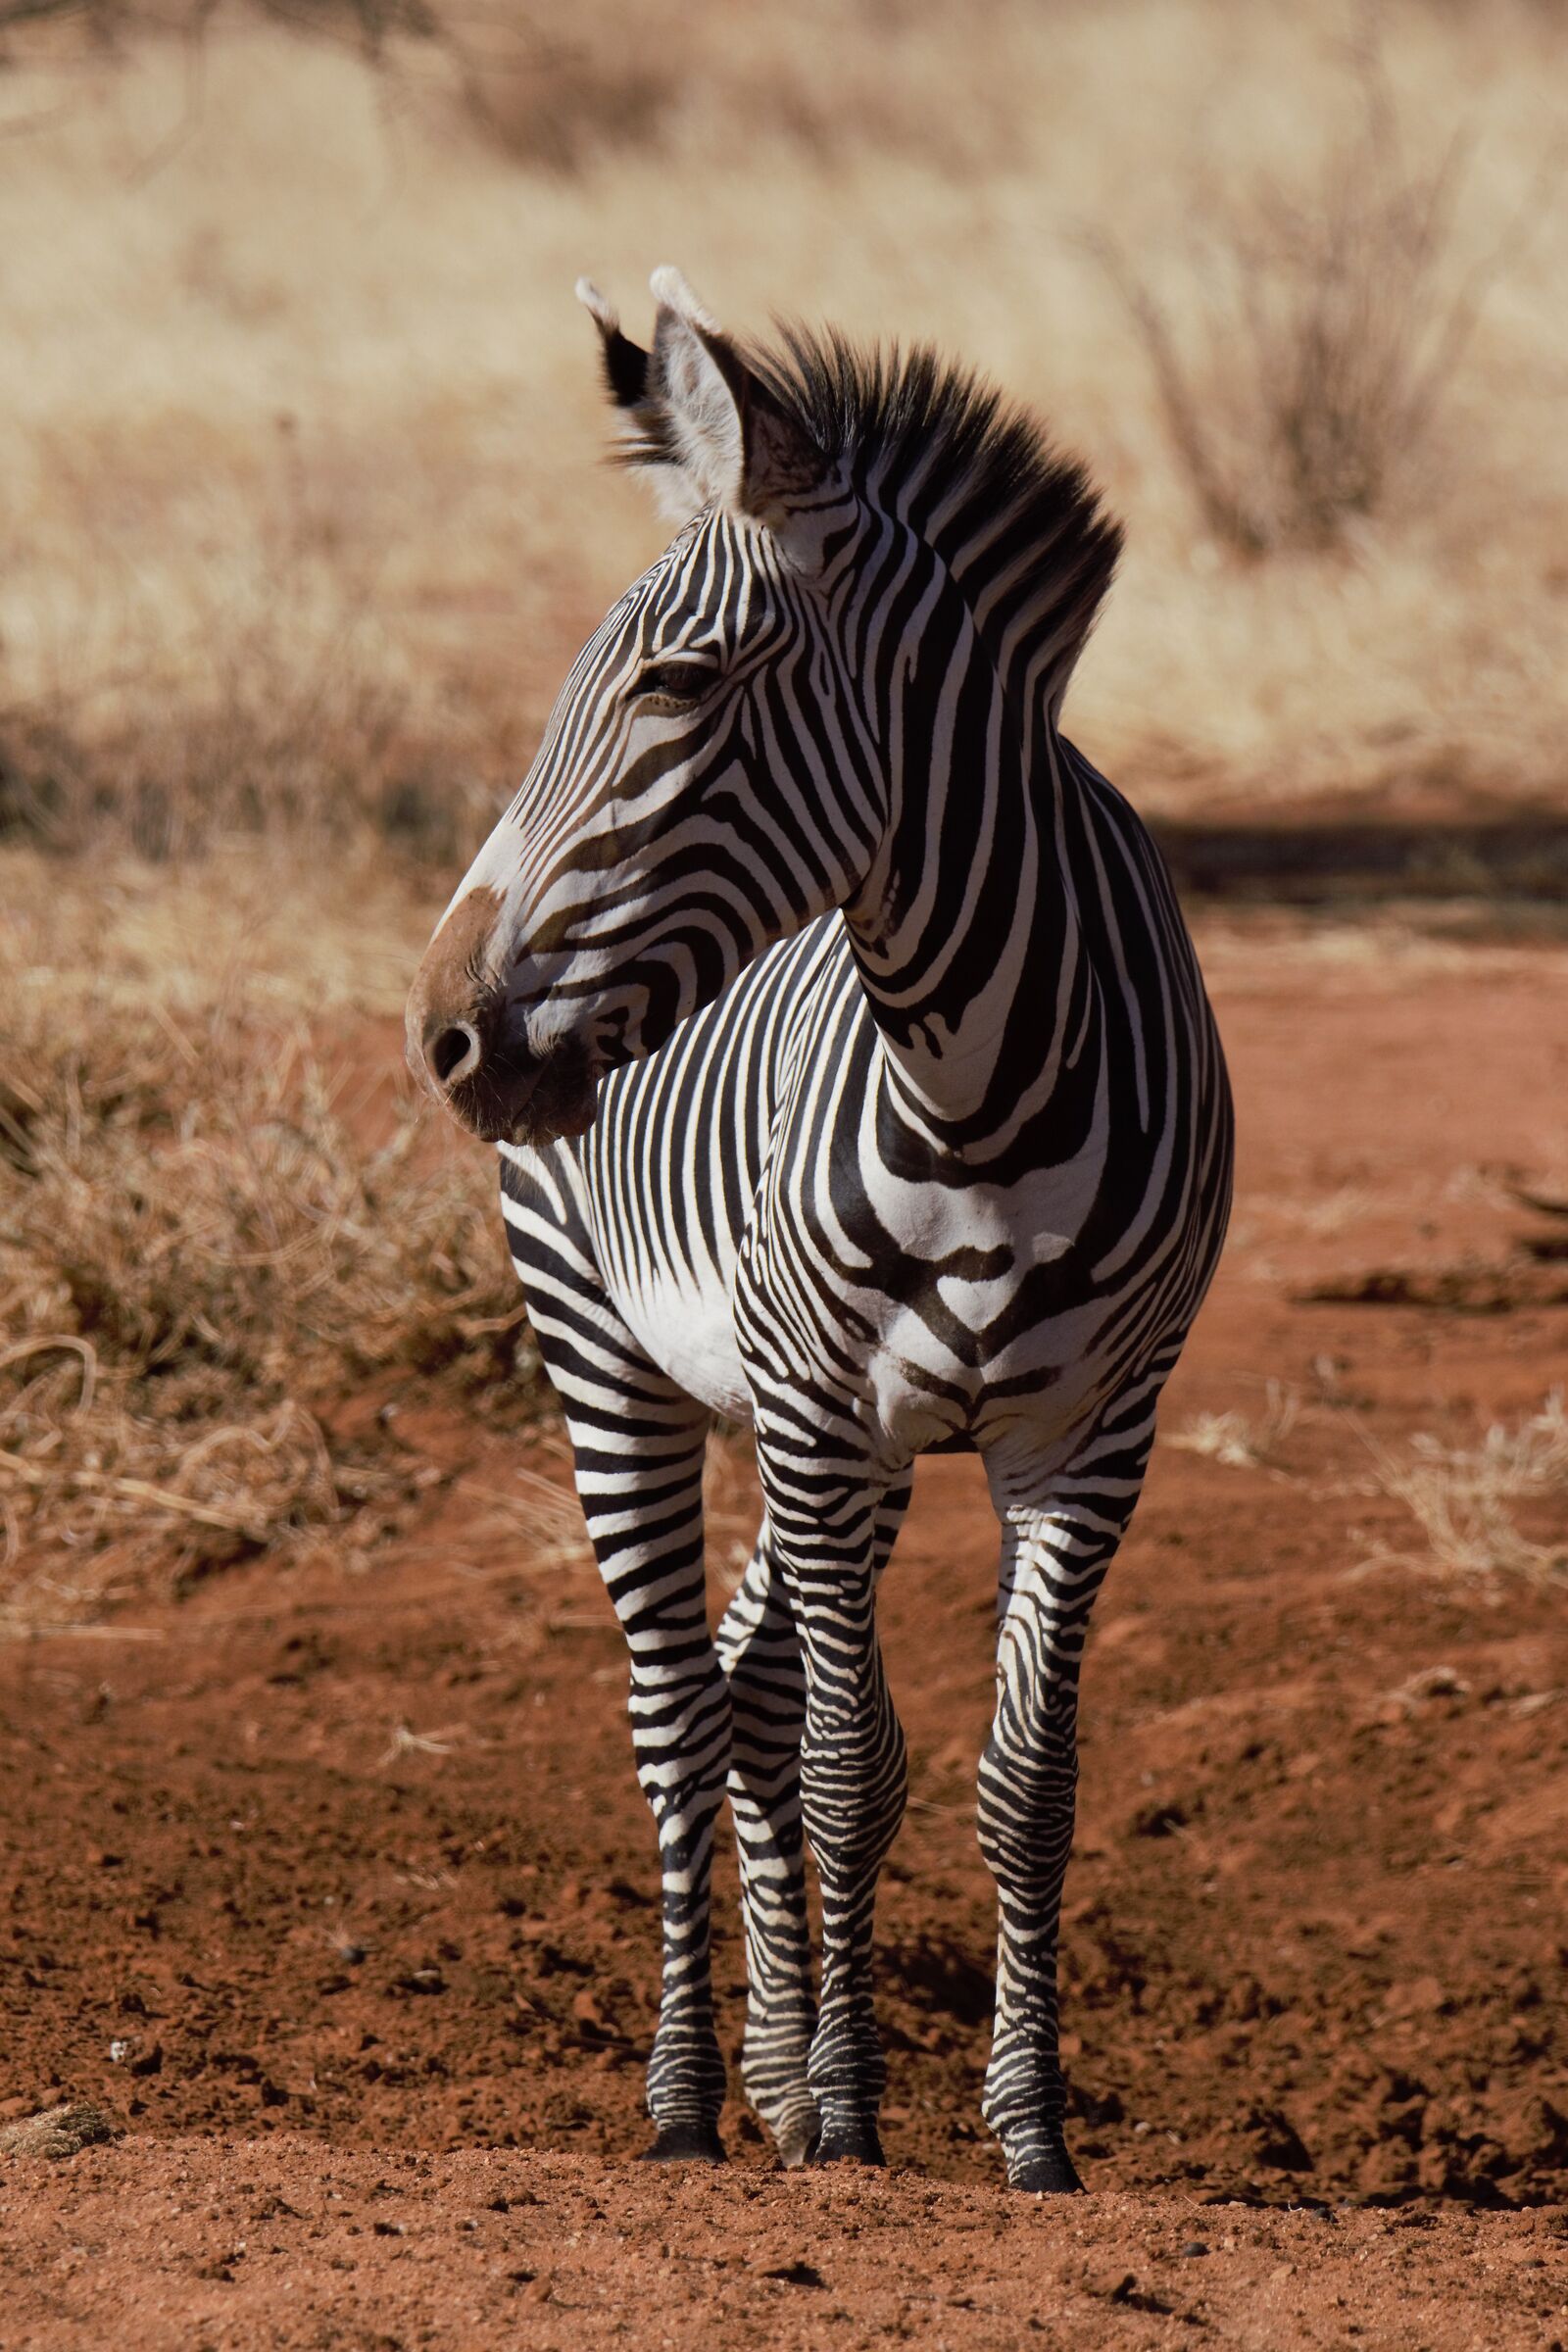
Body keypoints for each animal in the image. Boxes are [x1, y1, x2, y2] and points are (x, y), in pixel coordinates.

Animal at [406, 267, 1233, 2193]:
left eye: (680, 684)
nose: (450, 1039)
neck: (982, 1080)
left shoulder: (1093, 1438)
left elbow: (1023, 1781)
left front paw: (1026, 2137)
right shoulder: (818, 1406)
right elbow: (856, 1768)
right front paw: (854, 2121)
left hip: (835, 1433)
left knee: (748, 1687)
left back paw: (774, 2074)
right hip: (622, 1362)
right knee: (681, 1720)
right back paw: (697, 2096)